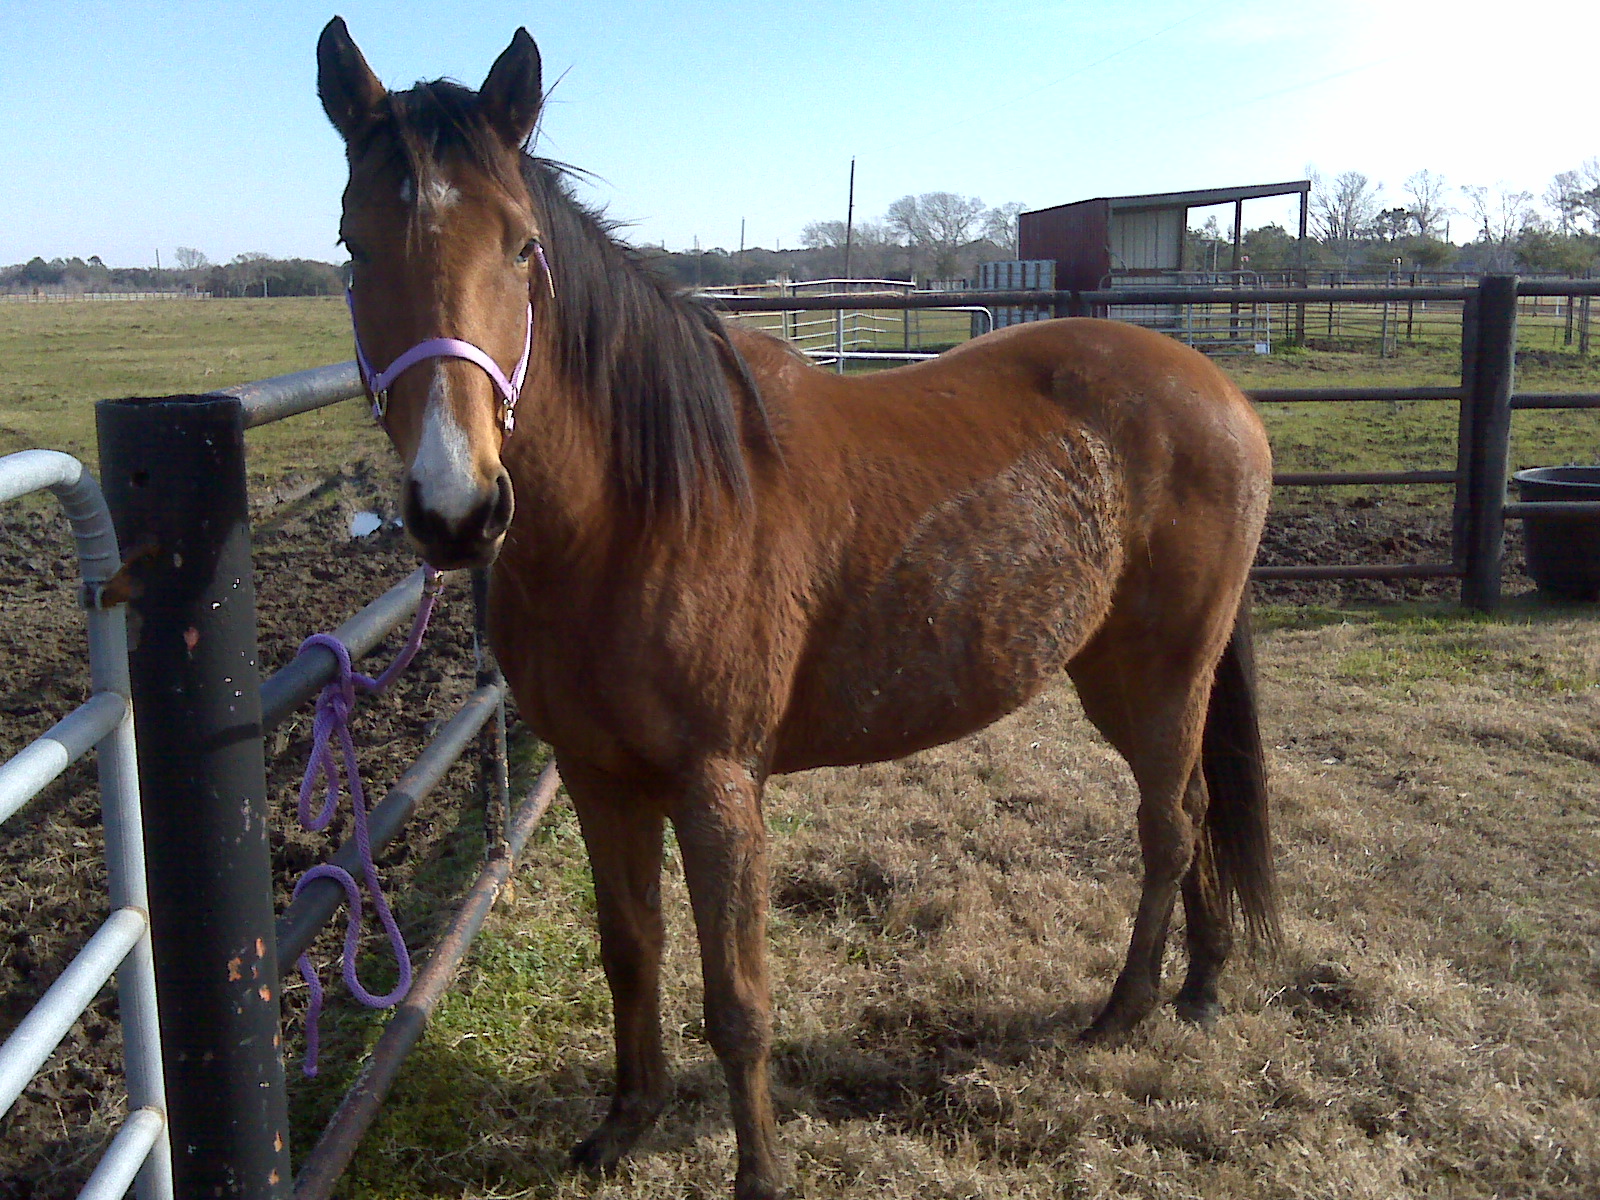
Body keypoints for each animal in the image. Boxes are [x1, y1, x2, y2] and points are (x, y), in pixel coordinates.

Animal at [318, 21, 1280, 1200]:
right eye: (354, 246)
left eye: (522, 249)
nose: (455, 506)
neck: (643, 509)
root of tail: (1217, 391)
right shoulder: (598, 776)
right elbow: (629, 949)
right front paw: (623, 1125)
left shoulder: (718, 784)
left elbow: (737, 1002)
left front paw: (759, 1174)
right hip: (1119, 670)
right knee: (1193, 806)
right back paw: (1199, 986)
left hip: (1163, 668)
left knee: (1170, 821)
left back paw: (1130, 1006)